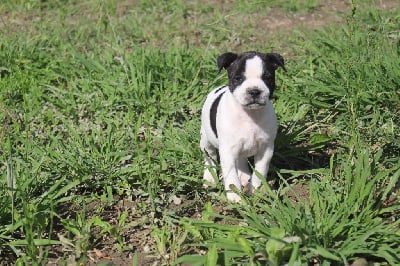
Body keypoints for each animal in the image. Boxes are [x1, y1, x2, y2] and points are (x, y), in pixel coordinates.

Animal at [200, 51, 284, 202]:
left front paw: (255, 190)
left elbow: (260, 171)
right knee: (210, 156)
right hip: (206, 139)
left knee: (241, 160)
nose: (254, 91)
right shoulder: (227, 151)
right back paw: (209, 178)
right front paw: (235, 197)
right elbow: (231, 175)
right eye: (238, 78)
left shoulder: (265, 149)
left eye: (267, 78)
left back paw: (244, 176)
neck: (250, 114)